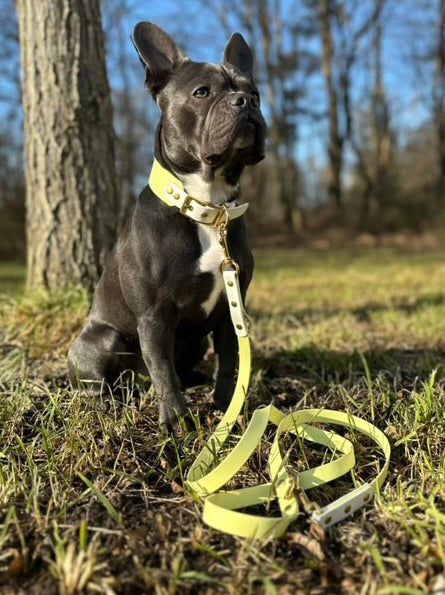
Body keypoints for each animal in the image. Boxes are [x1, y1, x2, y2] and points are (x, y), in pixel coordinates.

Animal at [68, 22, 267, 429]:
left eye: (255, 93)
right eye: (202, 92)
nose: (245, 101)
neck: (207, 206)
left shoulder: (230, 313)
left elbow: (230, 362)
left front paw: (228, 407)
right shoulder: (154, 316)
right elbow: (162, 369)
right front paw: (177, 420)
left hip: (198, 341)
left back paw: (195, 380)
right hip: (104, 341)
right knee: (112, 379)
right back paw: (110, 400)